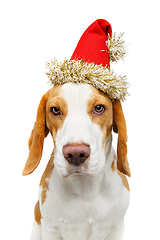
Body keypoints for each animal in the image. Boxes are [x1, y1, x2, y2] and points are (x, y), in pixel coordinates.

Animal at [22, 83, 130, 240]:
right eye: (55, 110)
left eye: (99, 108)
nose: (76, 154)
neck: (86, 190)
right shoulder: (50, 228)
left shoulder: (117, 227)